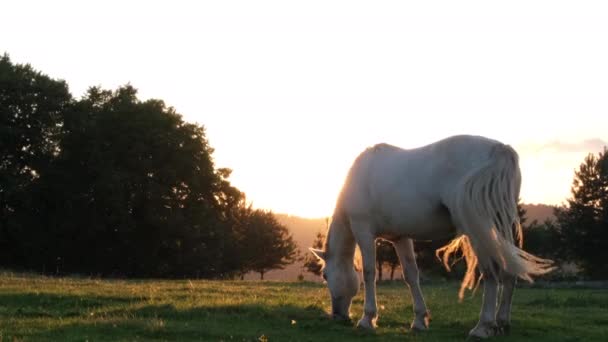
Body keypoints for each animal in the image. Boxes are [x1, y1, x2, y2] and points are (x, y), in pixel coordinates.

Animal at [312, 135, 552, 338]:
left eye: (325, 275)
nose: (337, 315)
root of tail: (500, 150)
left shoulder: (364, 231)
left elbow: (369, 273)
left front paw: (367, 319)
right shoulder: (400, 238)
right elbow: (411, 275)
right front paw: (419, 320)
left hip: (478, 231)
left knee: (491, 272)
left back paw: (483, 327)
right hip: (500, 228)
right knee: (509, 270)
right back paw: (502, 323)